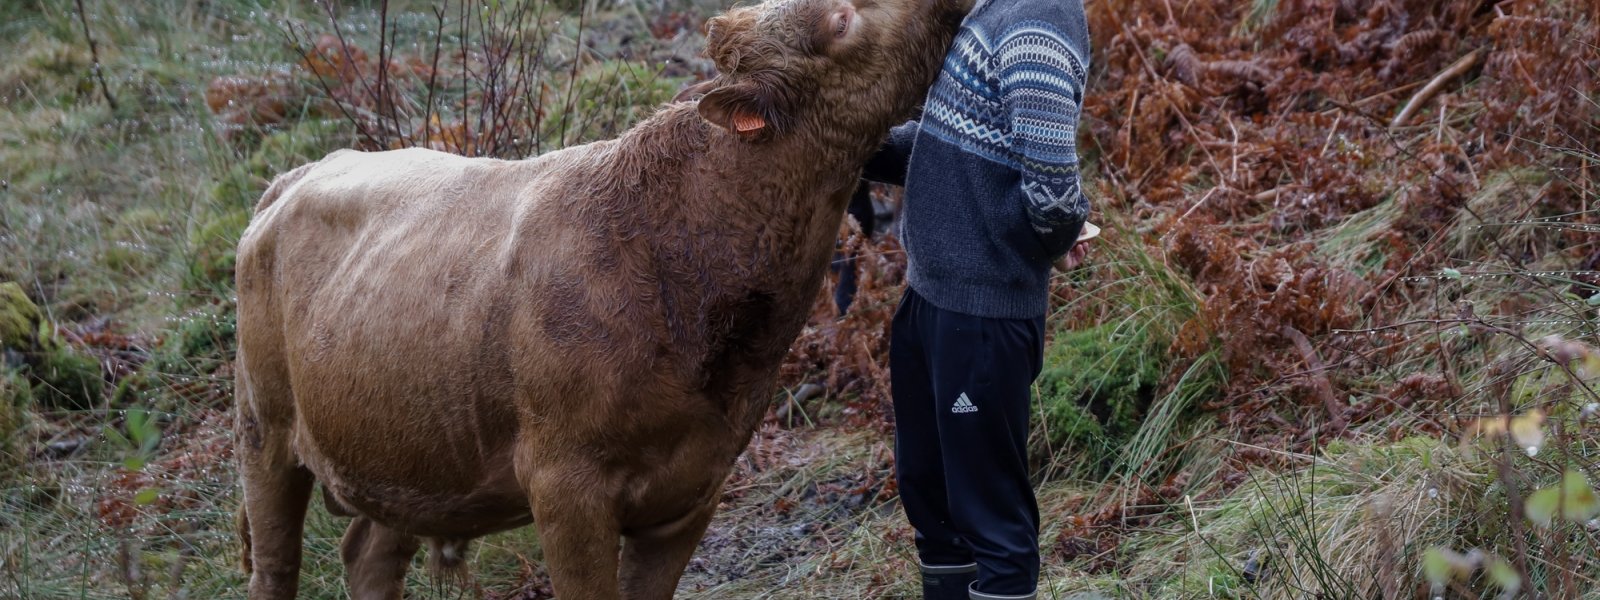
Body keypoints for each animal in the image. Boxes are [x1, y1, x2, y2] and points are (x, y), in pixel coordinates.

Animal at [232, 0, 966, 598]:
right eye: (840, 19)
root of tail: (304, 171)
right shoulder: (565, 485)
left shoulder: (696, 483)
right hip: (264, 428)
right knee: (275, 565)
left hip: (407, 447)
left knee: (369, 553)